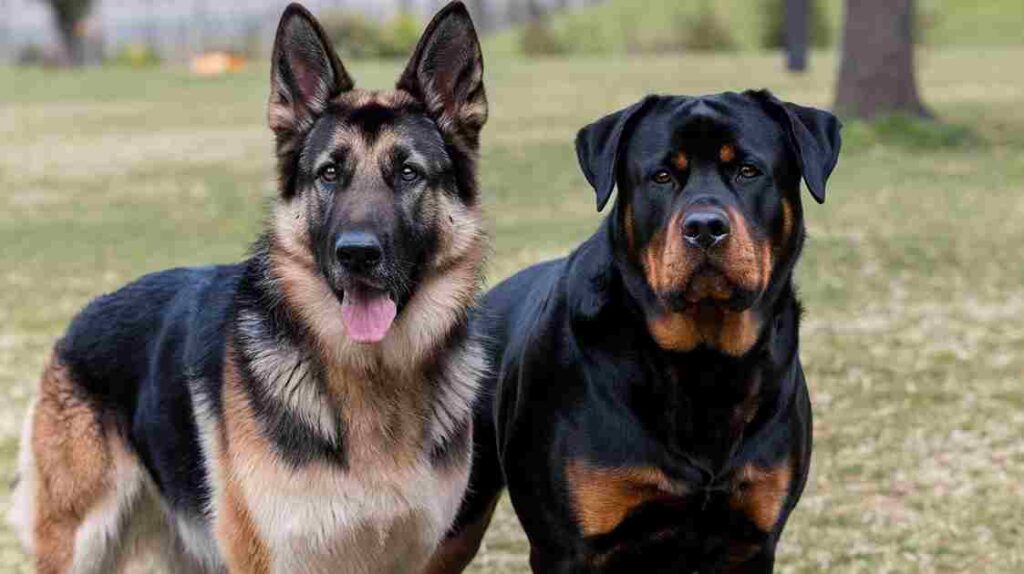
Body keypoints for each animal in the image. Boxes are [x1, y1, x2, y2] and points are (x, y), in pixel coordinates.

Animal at [432, 91, 839, 568]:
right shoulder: (567, 548)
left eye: (748, 171)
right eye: (661, 177)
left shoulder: (752, 541)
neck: (704, 365)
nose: (704, 226)